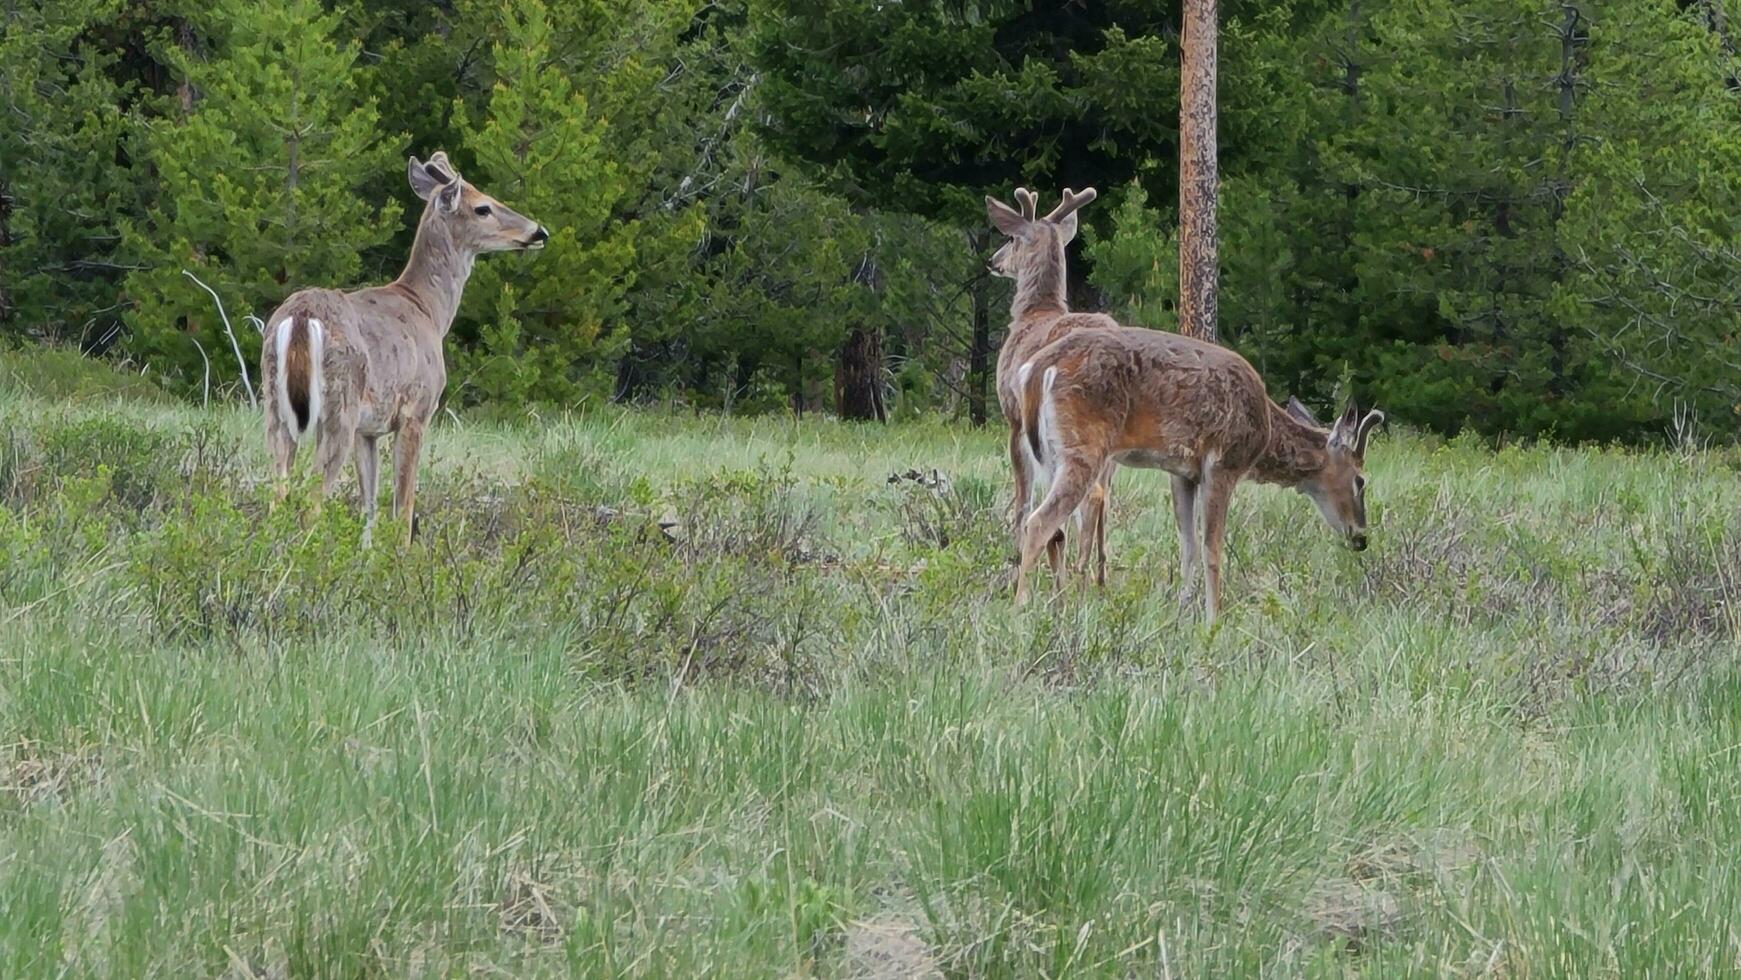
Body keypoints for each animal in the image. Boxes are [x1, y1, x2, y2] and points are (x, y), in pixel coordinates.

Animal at [255, 157, 543, 550]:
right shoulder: (415, 412)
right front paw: (402, 557)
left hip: (274, 406)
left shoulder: (368, 430)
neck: (428, 310)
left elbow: (370, 504)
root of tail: (300, 317)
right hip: (338, 409)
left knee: (278, 496)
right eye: (483, 207)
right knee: (310, 501)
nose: (538, 232)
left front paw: (366, 555)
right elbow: (404, 506)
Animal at [988, 184, 1121, 581]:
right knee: (1105, 496)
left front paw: (1018, 554)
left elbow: (1023, 495)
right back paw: (1100, 576)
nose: (992, 261)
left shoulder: (1014, 418)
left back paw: (1077, 573)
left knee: (1089, 496)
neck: (1035, 312)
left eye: (1011, 238)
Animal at [1016, 325, 1378, 626]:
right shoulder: (1222, 463)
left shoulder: (1181, 472)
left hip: (1047, 456)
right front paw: (1213, 618)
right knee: (1038, 522)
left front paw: (1181, 611)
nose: (1361, 537)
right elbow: (1211, 547)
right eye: (1360, 481)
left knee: (1055, 532)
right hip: (1083, 447)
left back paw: (1060, 607)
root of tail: (1035, 370)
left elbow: (1187, 544)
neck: (1263, 435)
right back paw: (1022, 610)